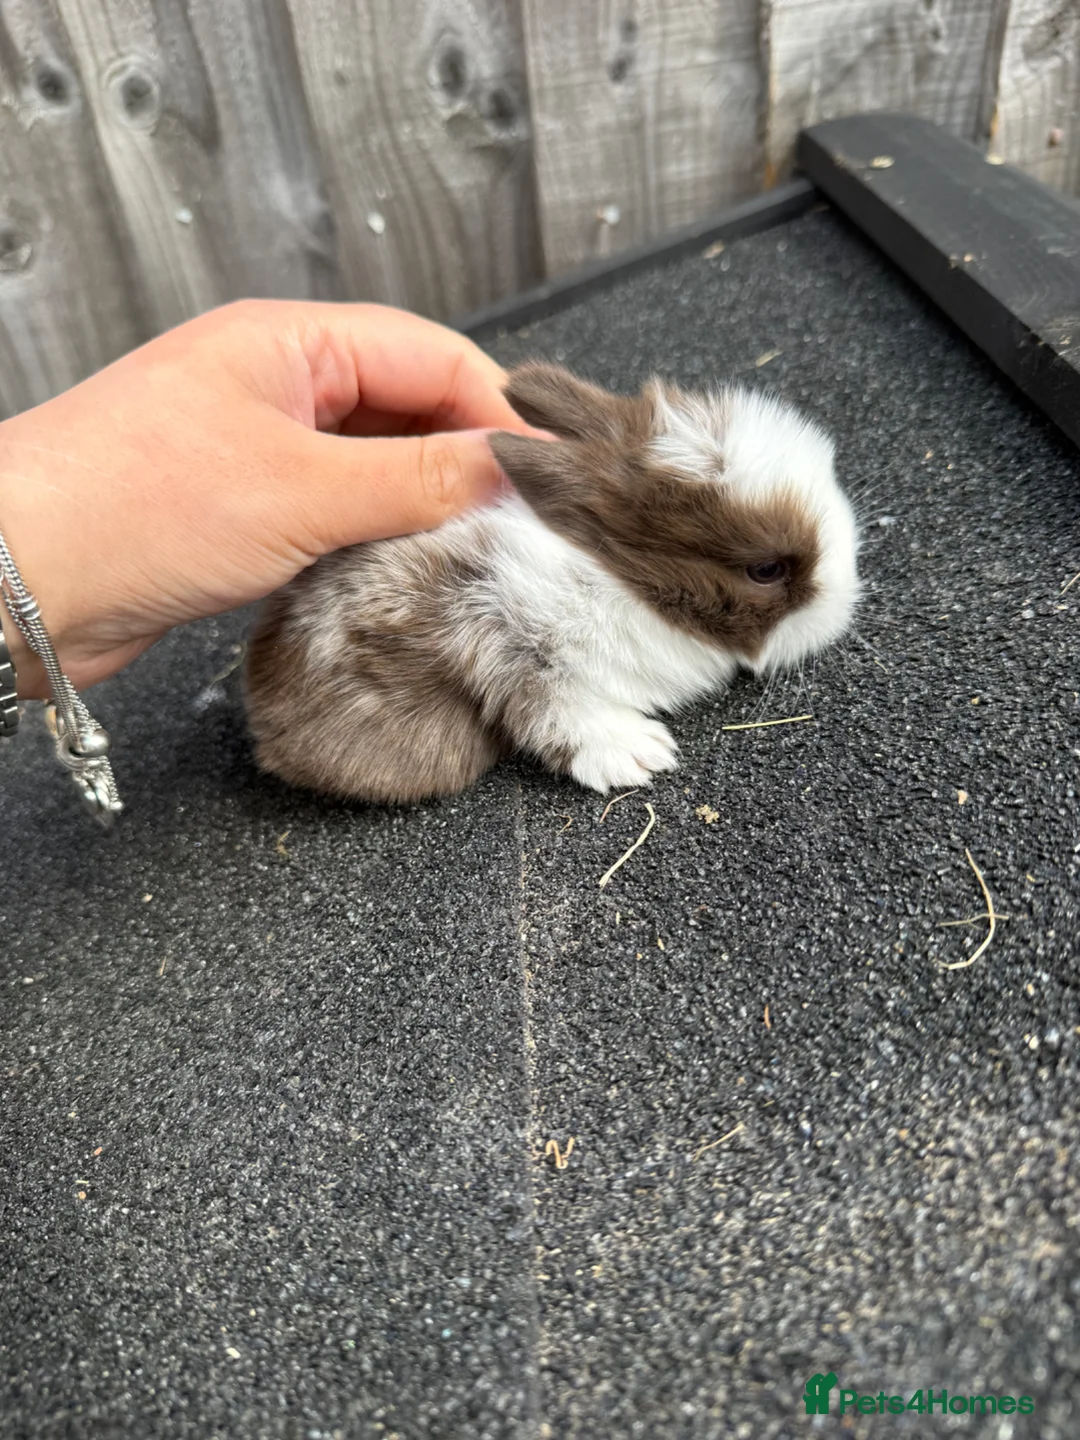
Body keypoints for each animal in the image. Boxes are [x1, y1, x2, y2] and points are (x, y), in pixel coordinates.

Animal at [244, 362, 860, 803]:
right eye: (766, 570)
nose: (847, 602)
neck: (616, 578)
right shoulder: (490, 619)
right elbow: (547, 704)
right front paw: (641, 754)